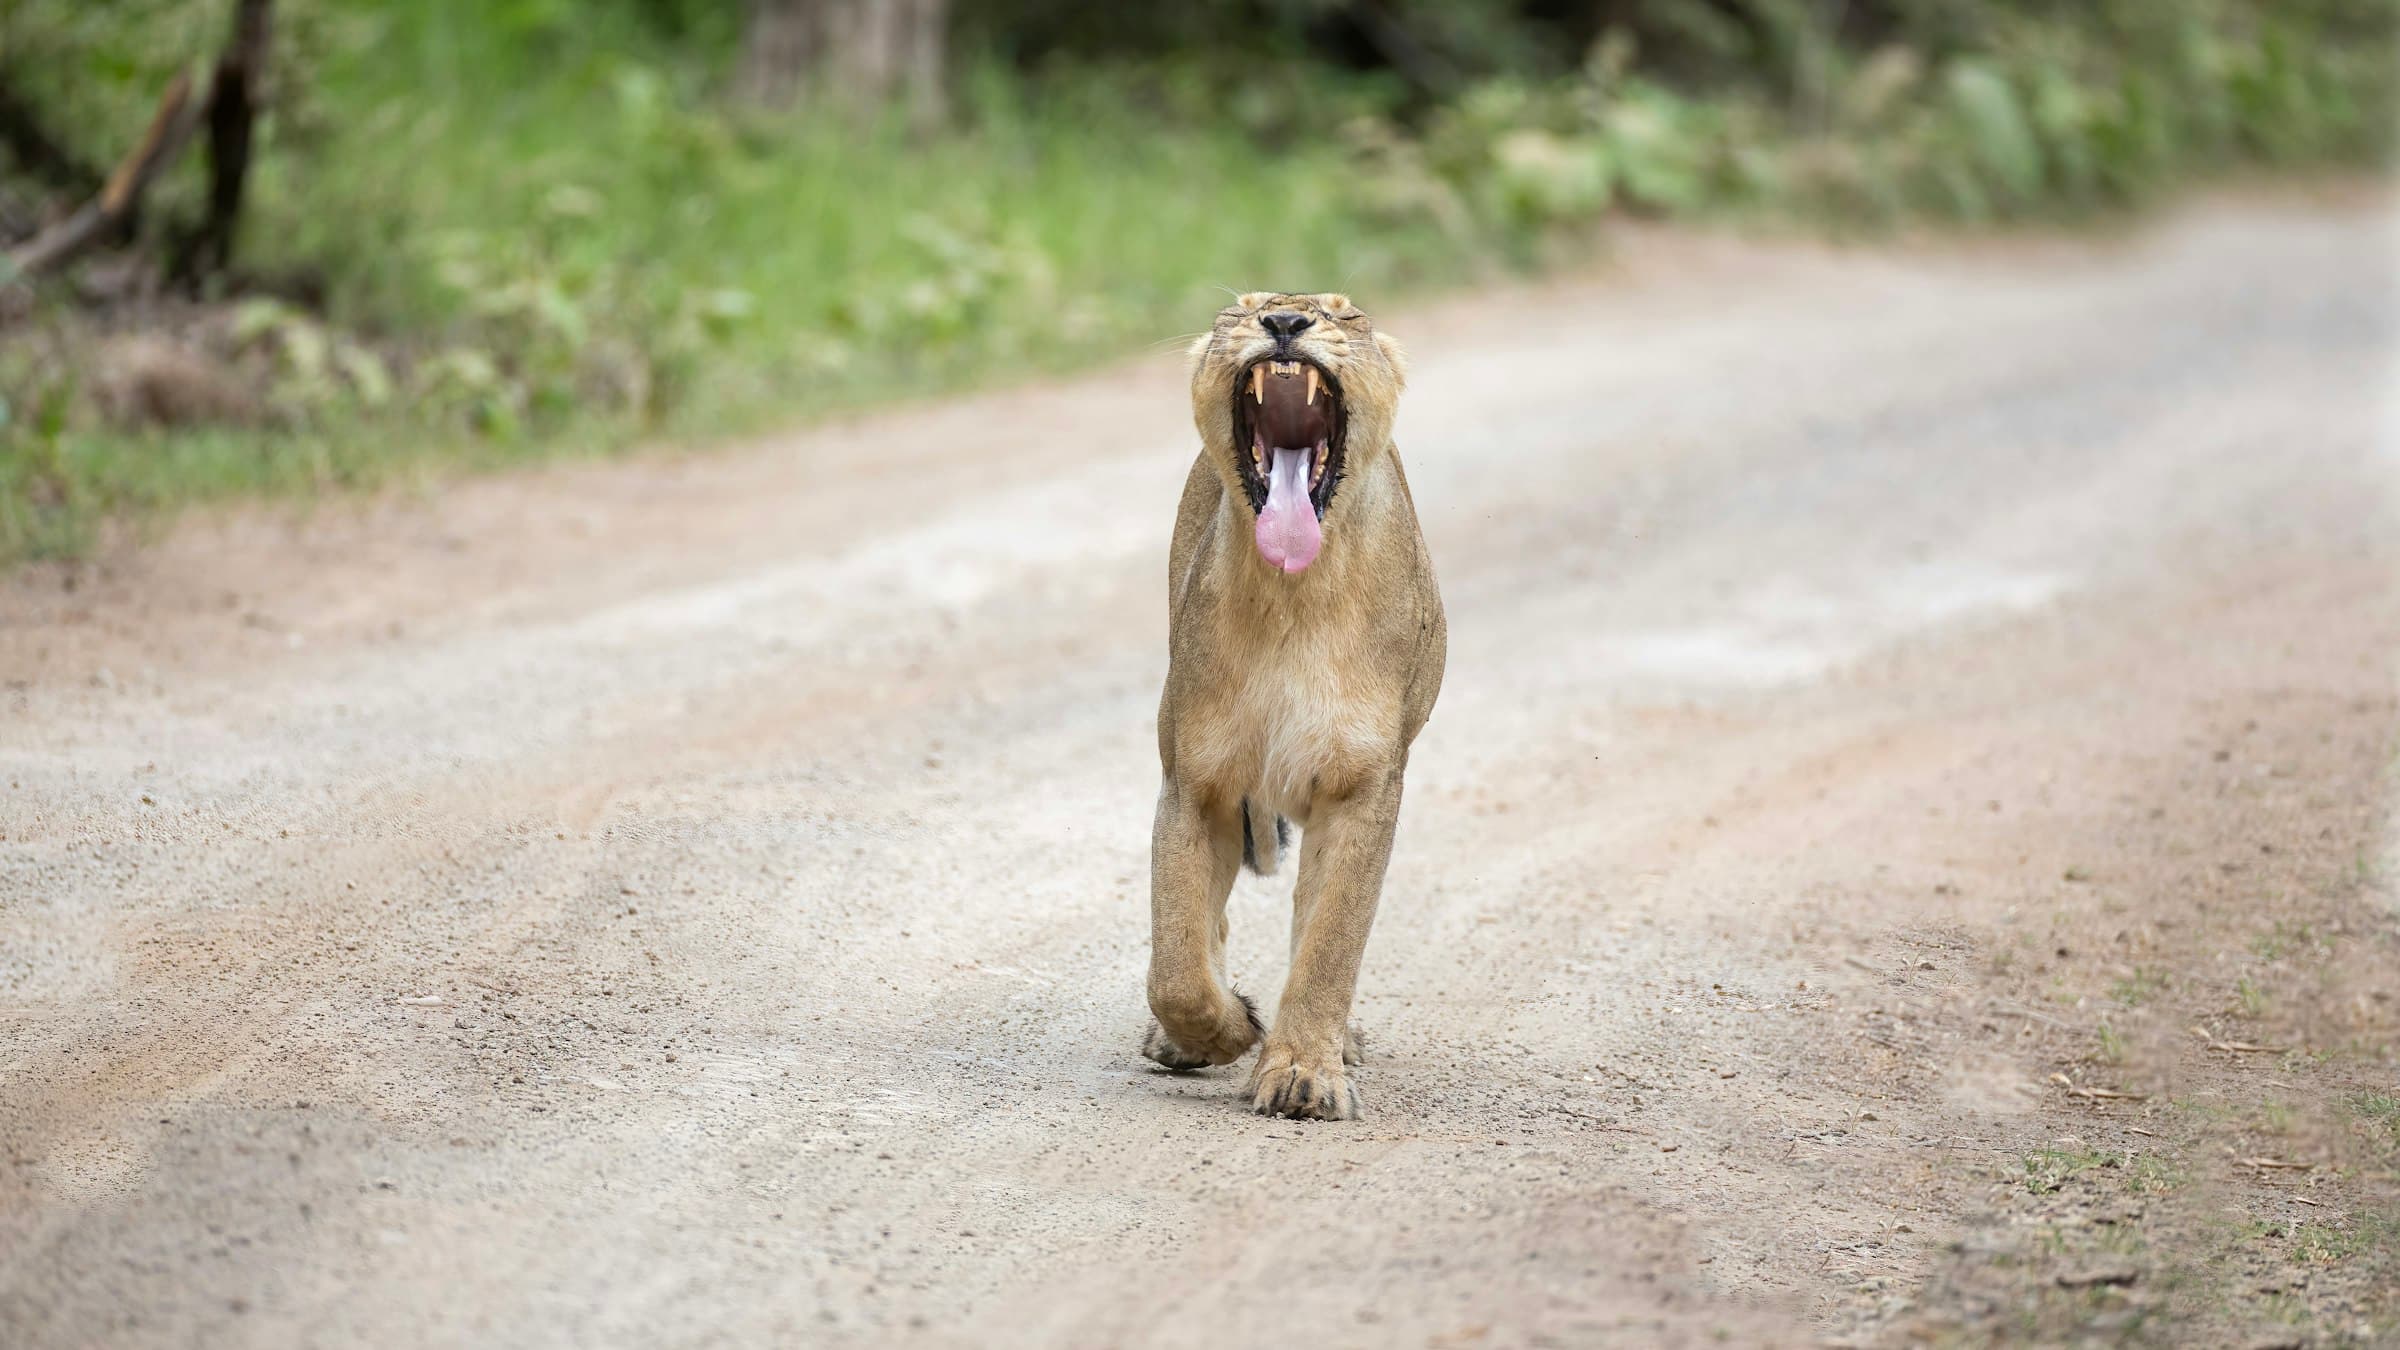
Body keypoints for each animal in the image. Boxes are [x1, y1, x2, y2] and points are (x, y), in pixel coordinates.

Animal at [1139, 291, 1446, 1121]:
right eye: (1239, 309)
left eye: (1346, 314)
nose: (1283, 323)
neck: (1291, 596)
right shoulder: (1195, 785)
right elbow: (1176, 962)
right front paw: (1221, 1031)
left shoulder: (1362, 788)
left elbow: (1329, 941)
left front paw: (1304, 1071)